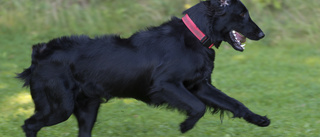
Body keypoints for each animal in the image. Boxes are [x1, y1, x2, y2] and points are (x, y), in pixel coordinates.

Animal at [17, 0, 270, 136]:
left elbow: (234, 104)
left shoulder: (199, 86)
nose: (262, 34)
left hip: (87, 109)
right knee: (30, 124)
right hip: (59, 107)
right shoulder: (166, 84)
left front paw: (259, 119)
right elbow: (198, 108)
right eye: (243, 13)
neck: (193, 37)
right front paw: (185, 125)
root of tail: (39, 54)